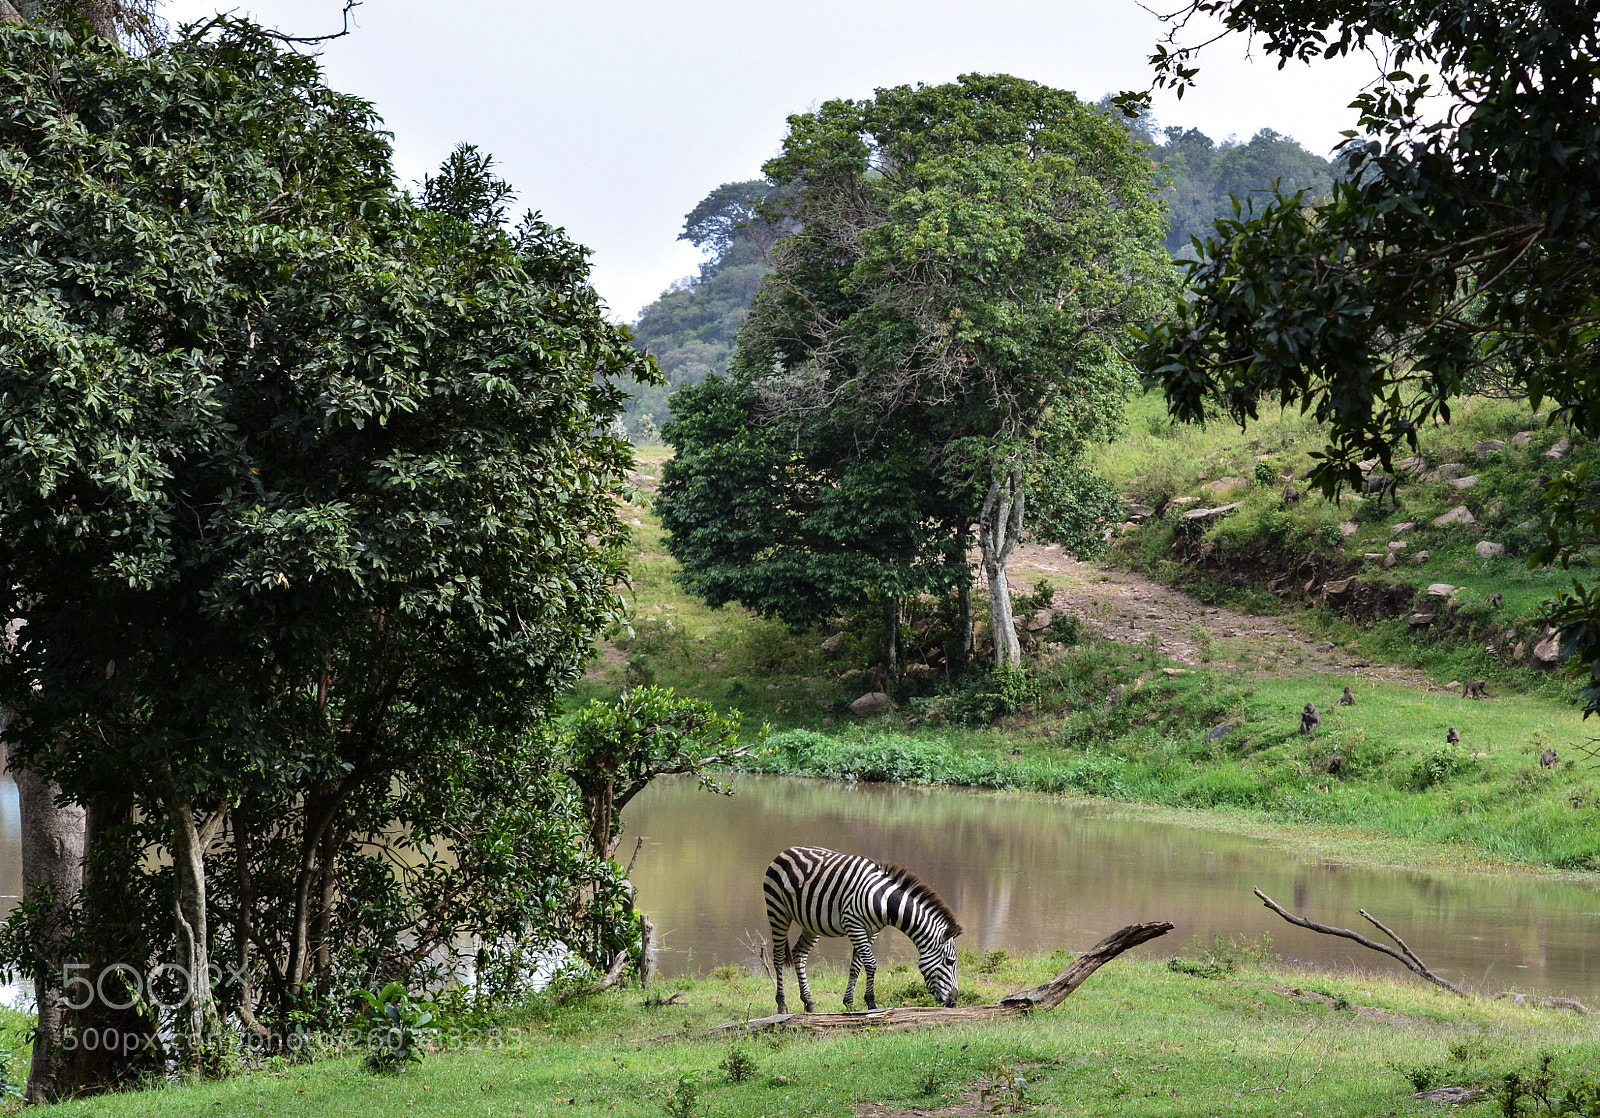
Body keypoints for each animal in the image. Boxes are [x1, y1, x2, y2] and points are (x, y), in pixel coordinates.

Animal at [763, 845, 961, 1013]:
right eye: (950, 961)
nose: (954, 1001)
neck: (883, 900)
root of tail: (787, 850)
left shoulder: (871, 931)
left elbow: (856, 966)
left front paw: (849, 1003)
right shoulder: (854, 924)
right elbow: (871, 963)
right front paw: (871, 1002)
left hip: (811, 922)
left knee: (799, 954)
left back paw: (809, 1002)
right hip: (778, 911)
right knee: (779, 956)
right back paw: (782, 1005)